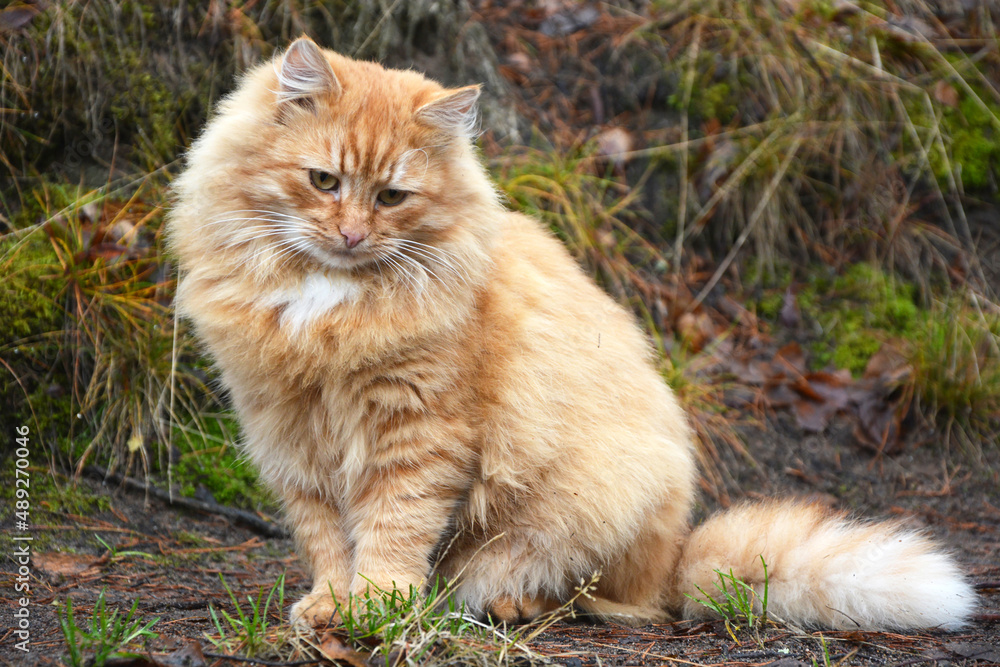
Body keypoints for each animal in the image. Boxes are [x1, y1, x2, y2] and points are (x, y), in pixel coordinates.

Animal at [166, 36, 976, 632]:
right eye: (324, 182)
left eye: (393, 197)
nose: (353, 234)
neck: (331, 304)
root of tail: (679, 558)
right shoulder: (287, 430)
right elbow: (326, 537)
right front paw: (332, 605)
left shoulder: (417, 430)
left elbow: (392, 529)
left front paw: (376, 606)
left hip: (590, 505)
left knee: (607, 598)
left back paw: (508, 603)